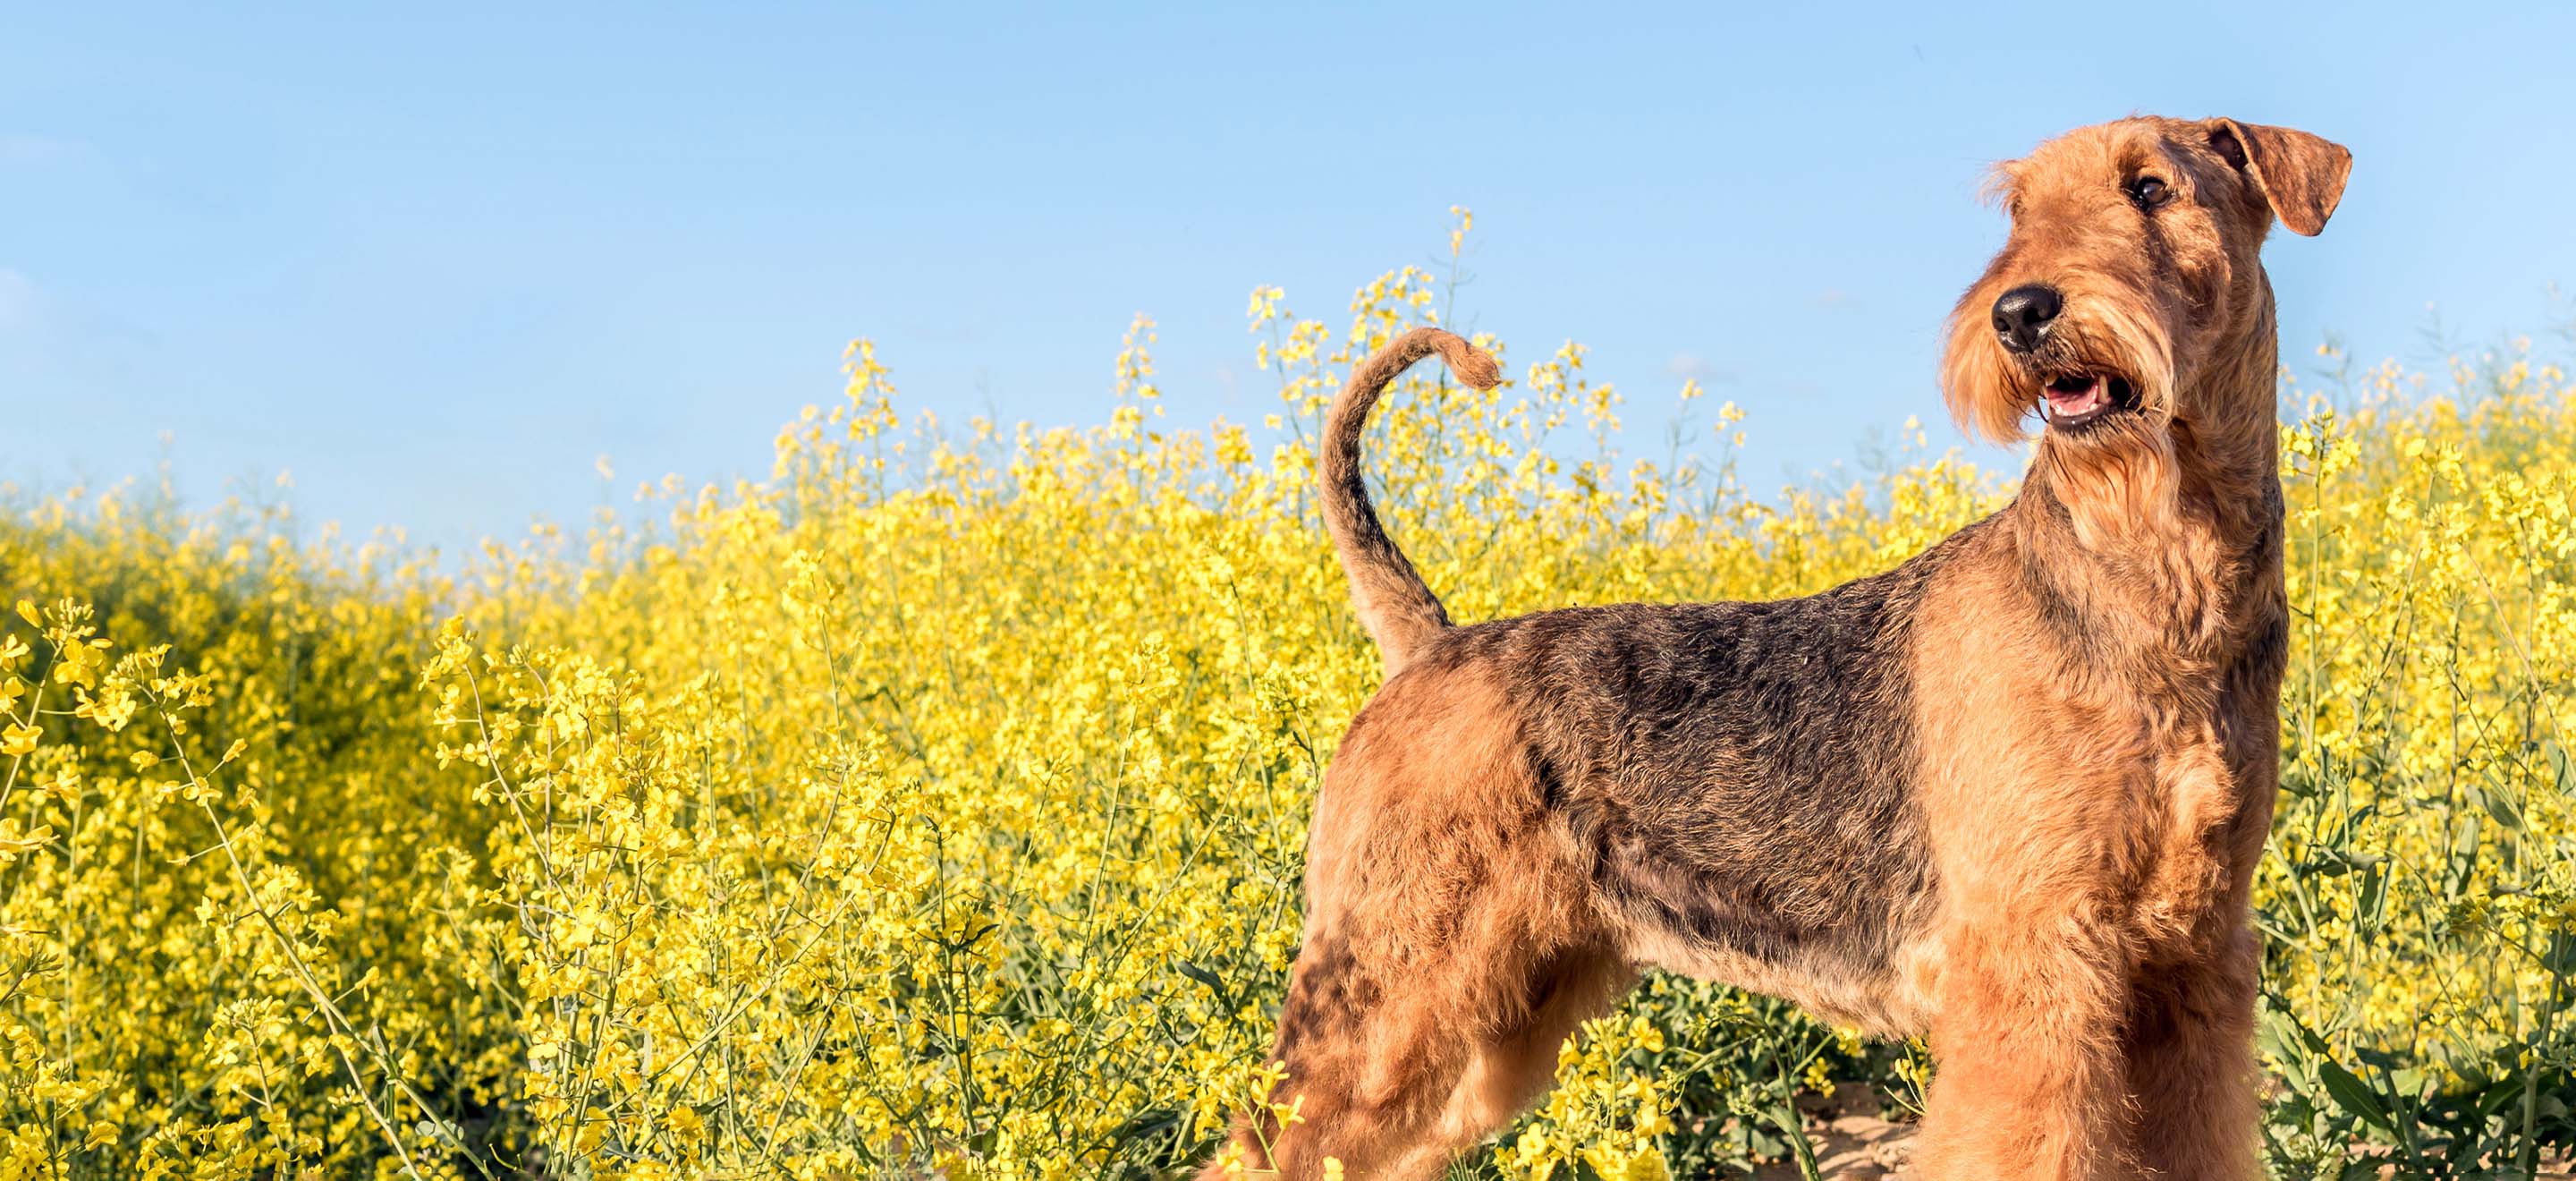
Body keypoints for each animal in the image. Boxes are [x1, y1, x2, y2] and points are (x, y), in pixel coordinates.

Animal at [1205, 113, 2360, 1181]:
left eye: (2152, 187)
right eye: (2019, 210)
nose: (2020, 312)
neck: (2154, 582)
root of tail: (1428, 645)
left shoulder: (2189, 960)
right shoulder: (2039, 961)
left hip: (1493, 1017)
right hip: (1386, 986)